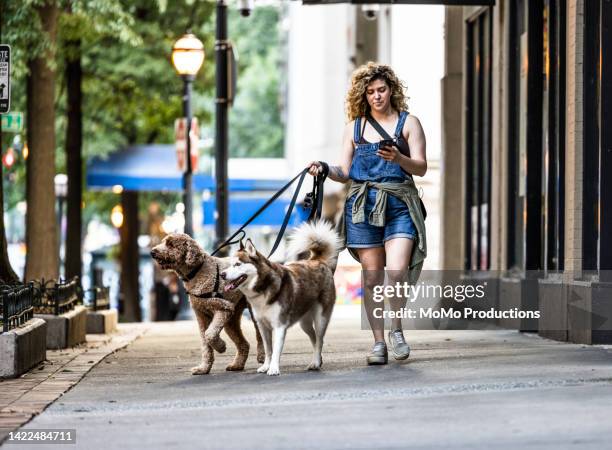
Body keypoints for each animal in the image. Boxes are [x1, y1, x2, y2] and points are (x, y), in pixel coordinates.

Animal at [151, 234, 262, 374]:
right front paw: (203, 368)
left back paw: (262, 356)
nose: (152, 252)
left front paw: (221, 347)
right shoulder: (202, 315)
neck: (197, 272)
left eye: (170, 244)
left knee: (261, 335)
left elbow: (209, 334)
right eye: (163, 242)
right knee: (244, 344)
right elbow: (205, 342)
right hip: (231, 320)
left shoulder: (223, 308)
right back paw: (237, 365)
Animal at [222, 221, 342, 376]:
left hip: (321, 318)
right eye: (229, 265)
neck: (263, 288)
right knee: (314, 339)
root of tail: (318, 261)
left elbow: (276, 350)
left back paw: (315, 362)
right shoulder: (262, 326)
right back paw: (317, 361)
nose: (222, 274)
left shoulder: (279, 326)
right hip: (304, 322)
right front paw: (265, 366)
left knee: (320, 340)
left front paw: (273, 368)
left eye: (238, 264)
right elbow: (268, 350)